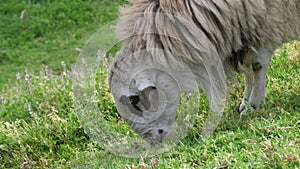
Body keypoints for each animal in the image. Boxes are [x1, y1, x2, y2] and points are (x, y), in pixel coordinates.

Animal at [109, 0, 298, 145]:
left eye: (134, 100)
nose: (155, 143)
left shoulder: (266, 24)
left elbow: (258, 65)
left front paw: (253, 105)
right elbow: (248, 69)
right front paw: (245, 103)